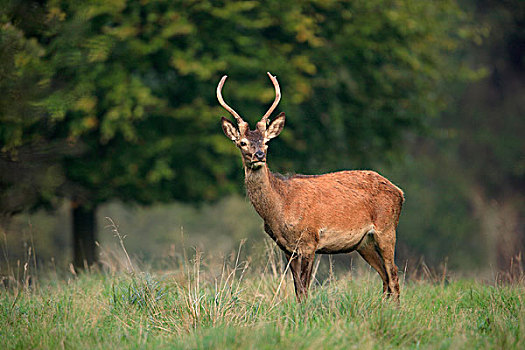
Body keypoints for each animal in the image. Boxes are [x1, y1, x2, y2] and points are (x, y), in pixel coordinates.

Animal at [215, 72, 404, 302]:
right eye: (242, 142)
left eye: (266, 142)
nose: (259, 155)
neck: (280, 207)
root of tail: (399, 192)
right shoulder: (286, 248)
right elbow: (298, 290)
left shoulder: (309, 241)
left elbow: (305, 289)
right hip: (364, 243)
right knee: (385, 277)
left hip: (387, 229)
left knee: (394, 275)